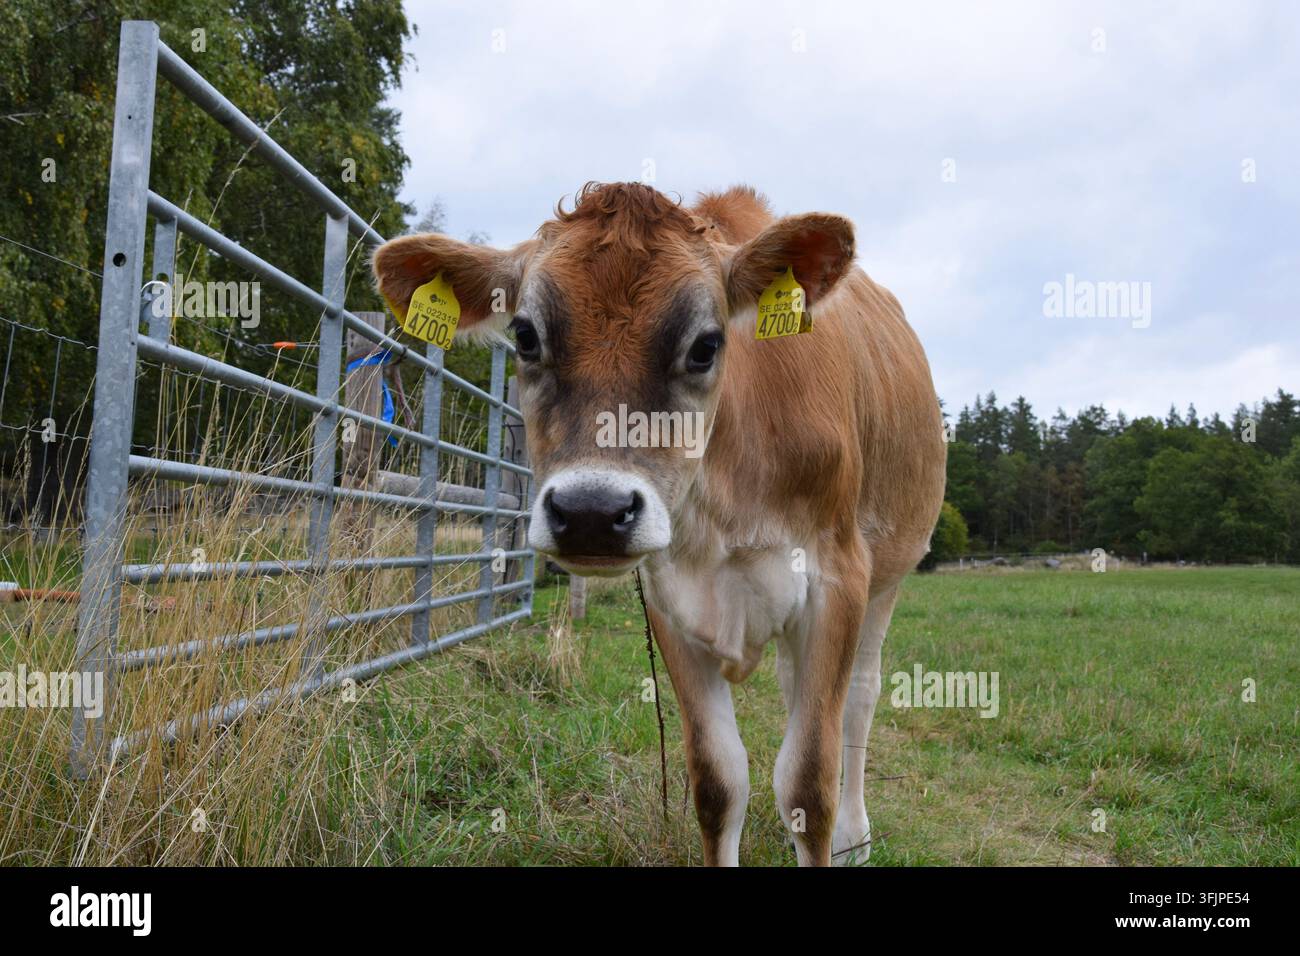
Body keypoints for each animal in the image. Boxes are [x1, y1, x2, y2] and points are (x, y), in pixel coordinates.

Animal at [373, 183, 947, 866]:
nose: (591, 512)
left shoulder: (836, 576)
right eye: (526, 336)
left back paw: (854, 838)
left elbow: (809, 784)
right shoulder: (670, 596)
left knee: (858, 697)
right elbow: (718, 783)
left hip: (888, 573)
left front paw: (827, 828)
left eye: (705, 345)